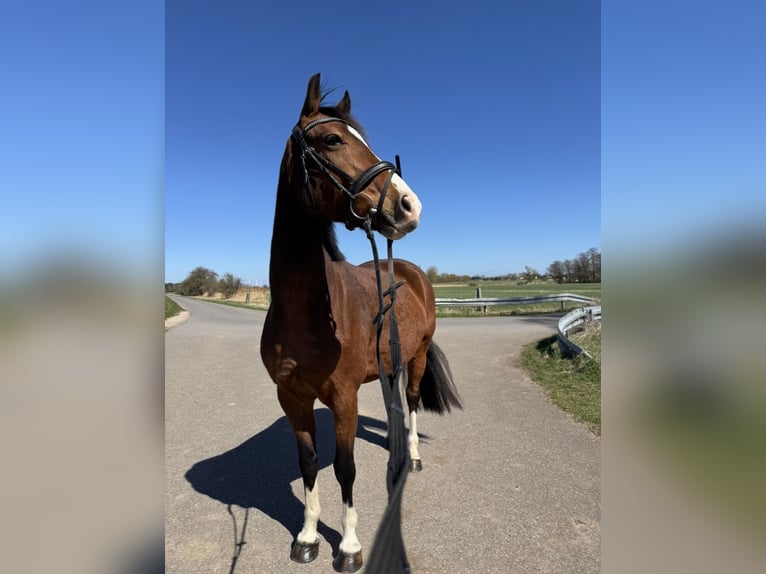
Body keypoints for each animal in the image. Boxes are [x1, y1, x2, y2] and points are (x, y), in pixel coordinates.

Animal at [260, 73, 462, 573]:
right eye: (333, 140)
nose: (409, 205)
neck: (306, 312)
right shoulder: (291, 398)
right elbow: (309, 464)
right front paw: (307, 536)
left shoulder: (344, 398)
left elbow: (344, 468)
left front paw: (349, 545)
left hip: (418, 356)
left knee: (411, 403)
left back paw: (410, 457)